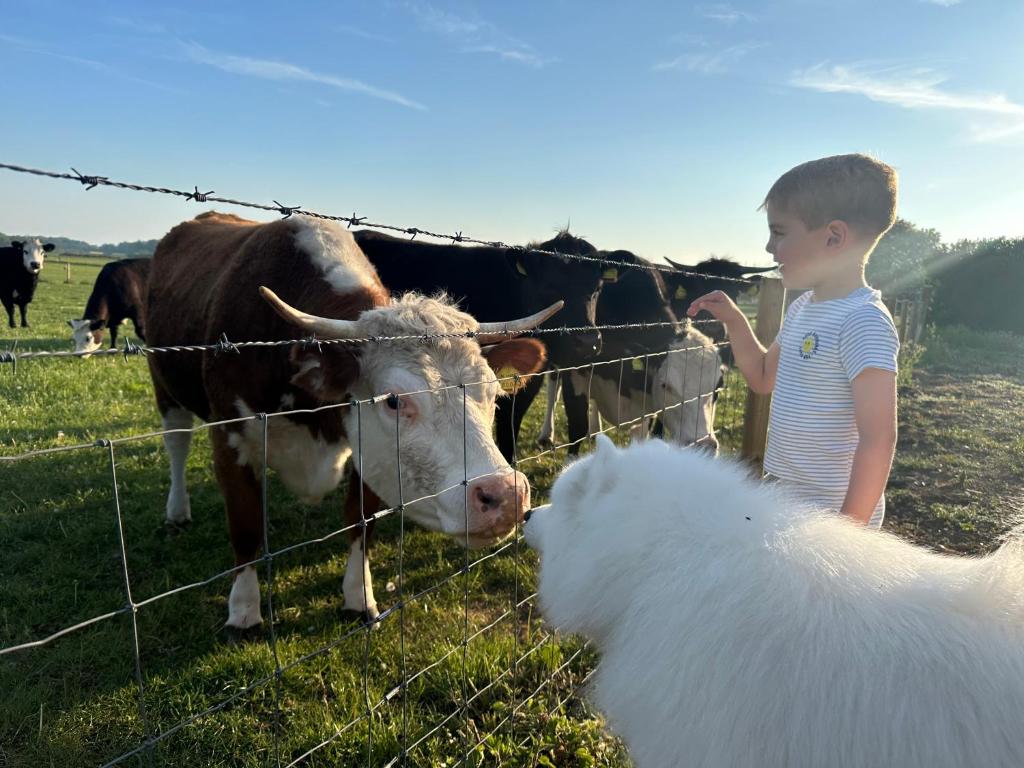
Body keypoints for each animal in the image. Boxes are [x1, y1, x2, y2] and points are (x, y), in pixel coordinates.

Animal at [145, 212, 557, 628]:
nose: (507, 495)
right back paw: (177, 510)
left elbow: (361, 519)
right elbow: (245, 525)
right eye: (393, 401)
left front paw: (359, 597)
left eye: (491, 391)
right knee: (176, 443)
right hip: (164, 386)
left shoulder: (365, 444)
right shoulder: (230, 437)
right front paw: (244, 612)